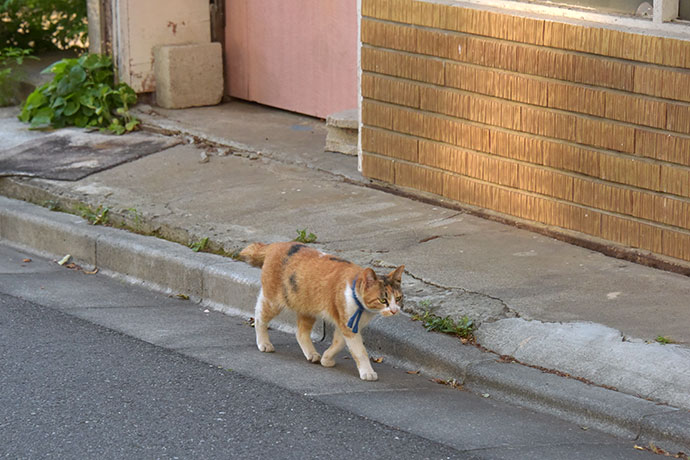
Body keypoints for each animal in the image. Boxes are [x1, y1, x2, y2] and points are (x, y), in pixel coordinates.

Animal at [239, 241, 404, 380]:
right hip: (273, 301)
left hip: (307, 308)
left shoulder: (345, 324)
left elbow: (339, 343)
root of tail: (275, 245)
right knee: (259, 316)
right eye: (383, 300)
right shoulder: (347, 323)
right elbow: (360, 351)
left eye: (398, 298)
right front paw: (368, 373)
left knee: (300, 333)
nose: (394, 310)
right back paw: (264, 343)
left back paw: (312, 354)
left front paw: (326, 359)